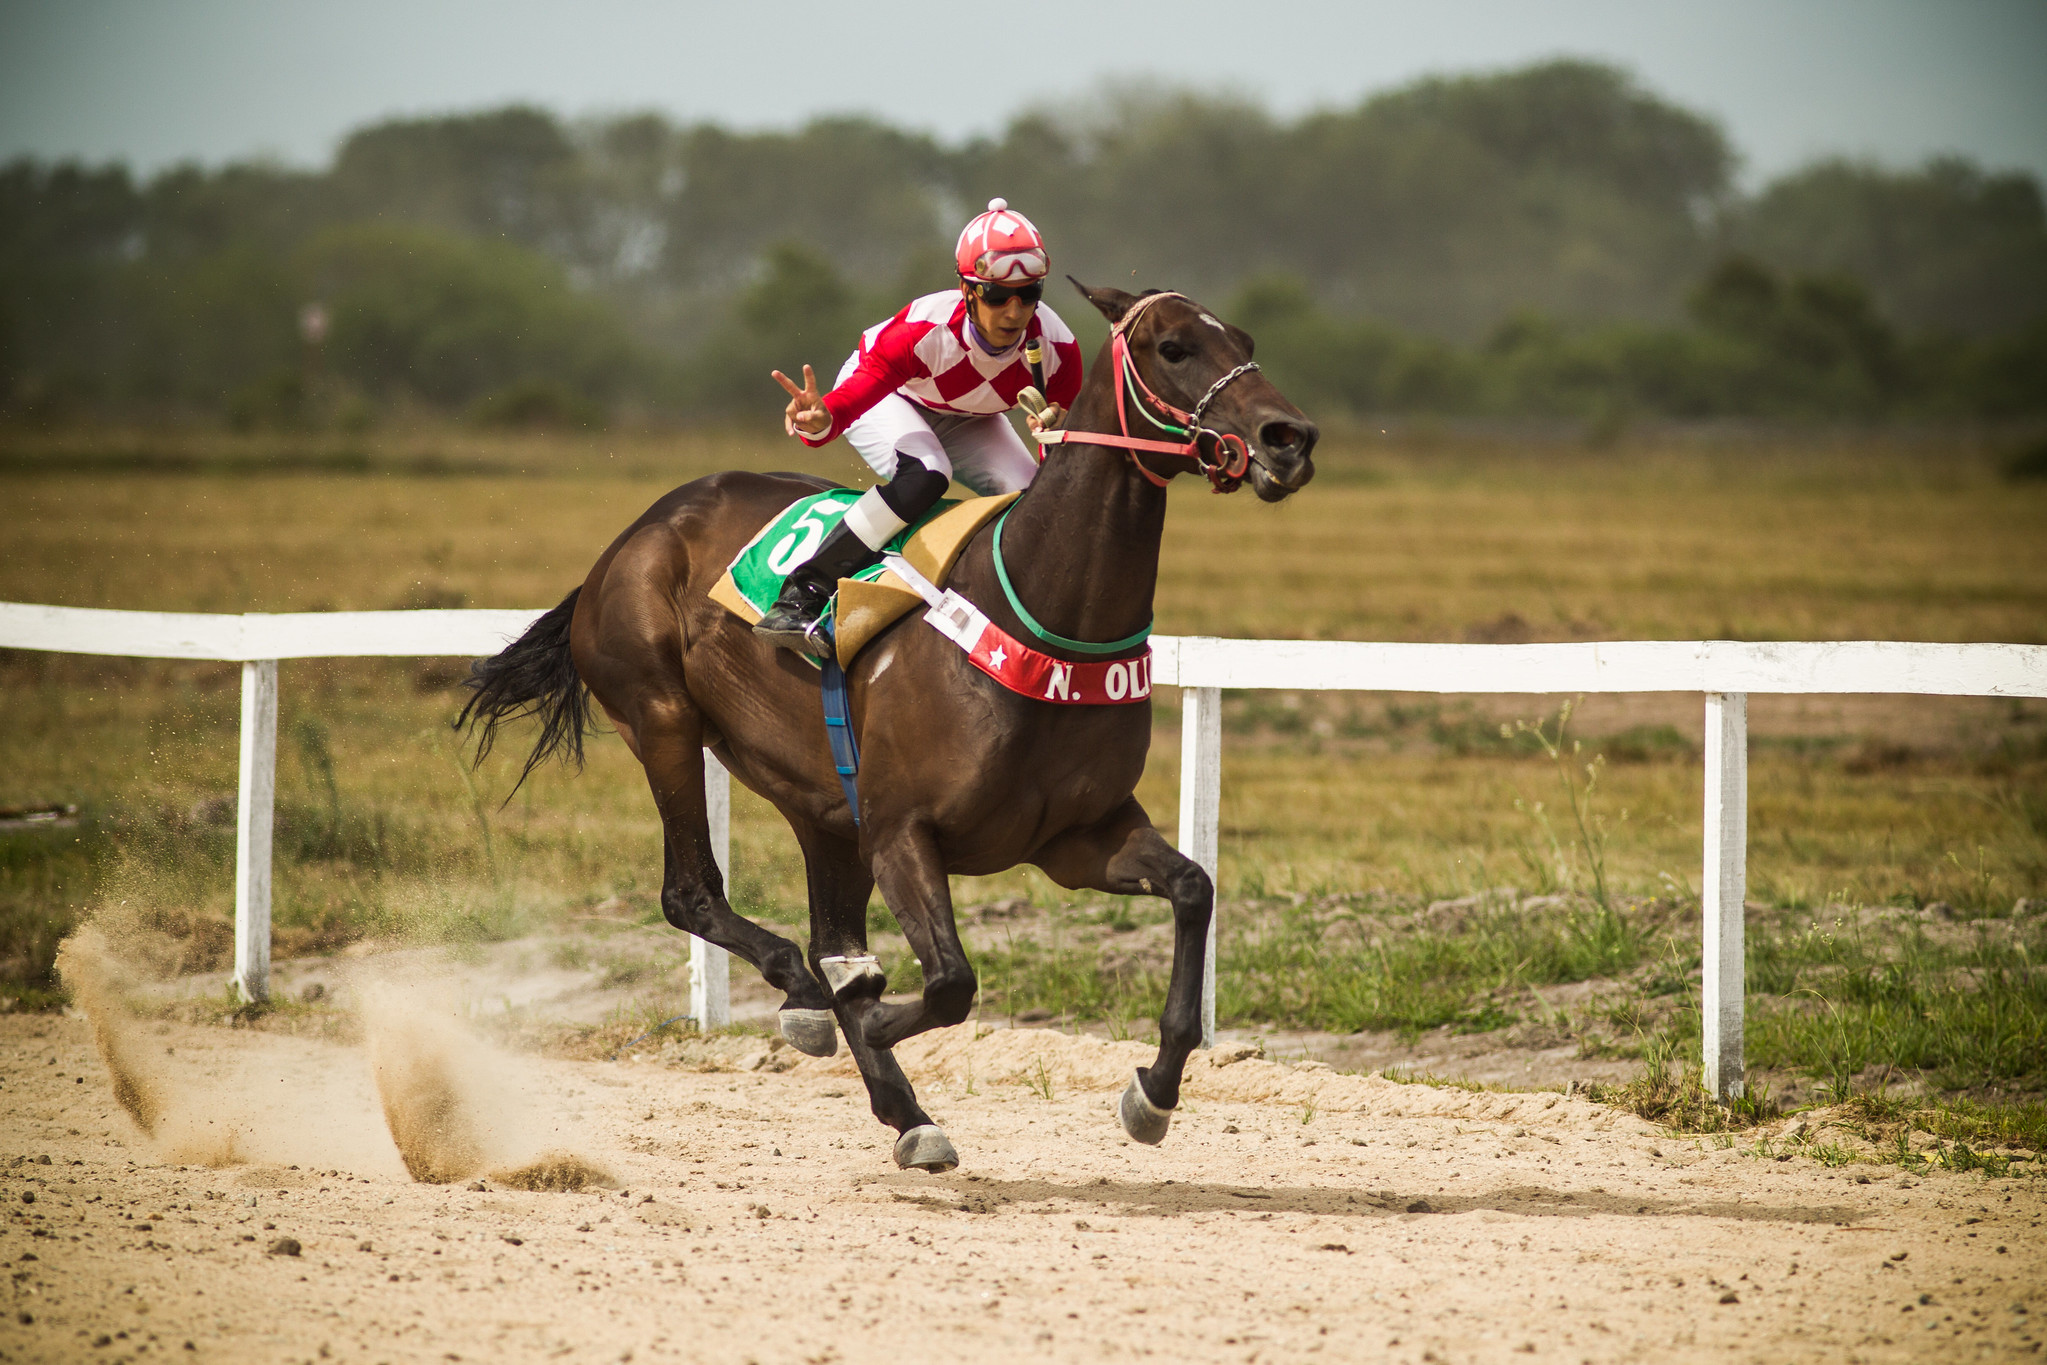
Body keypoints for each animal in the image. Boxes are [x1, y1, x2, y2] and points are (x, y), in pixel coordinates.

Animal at [456, 280, 1318, 1178]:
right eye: (1173, 347)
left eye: (1244, 340)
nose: (1288, 438)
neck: (1042, 614)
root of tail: (635, 534)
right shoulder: (905, 830)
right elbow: (947, 982)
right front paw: (863, 1017)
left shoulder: (1078, 834)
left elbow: (1192, 888)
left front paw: (1152, 1091)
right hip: (662, 719)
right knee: (696, 893)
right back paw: (809, 1000)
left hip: (825, 806)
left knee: (830, 935)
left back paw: (897, 1100)